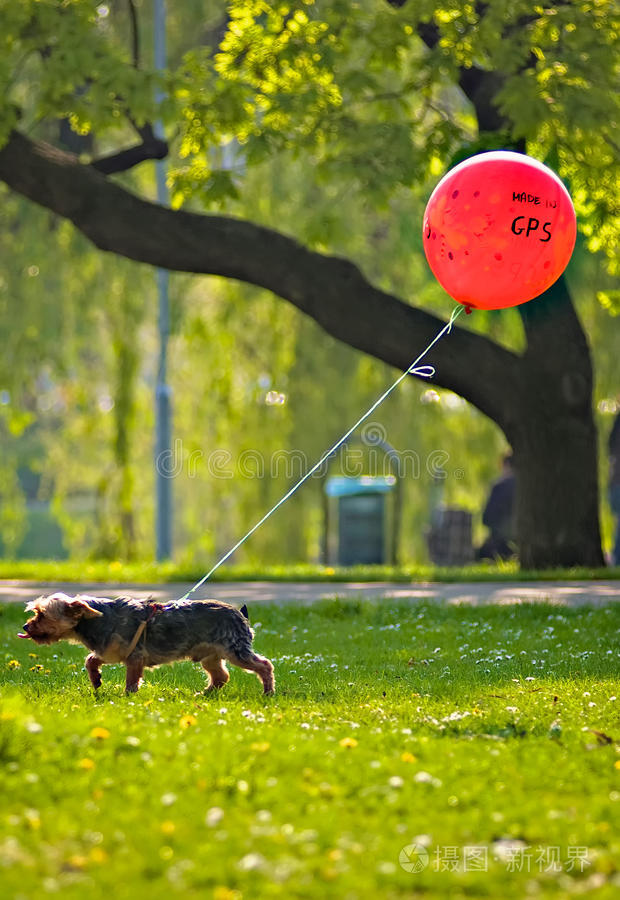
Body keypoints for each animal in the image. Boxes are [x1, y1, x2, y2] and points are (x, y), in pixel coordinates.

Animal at [18, 592, 274, 696]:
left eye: (41, 614)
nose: (25, 627)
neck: (95, 621)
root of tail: (240, 614)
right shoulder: (109, 650)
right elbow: (91, 660)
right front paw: (96, 679)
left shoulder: (135, 657)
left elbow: (131, 680)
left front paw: (128, 697)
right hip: (210, 656)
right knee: (221, 676)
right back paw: (204, 693)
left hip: (235, 650)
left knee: (264, 665)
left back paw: (268, 692)